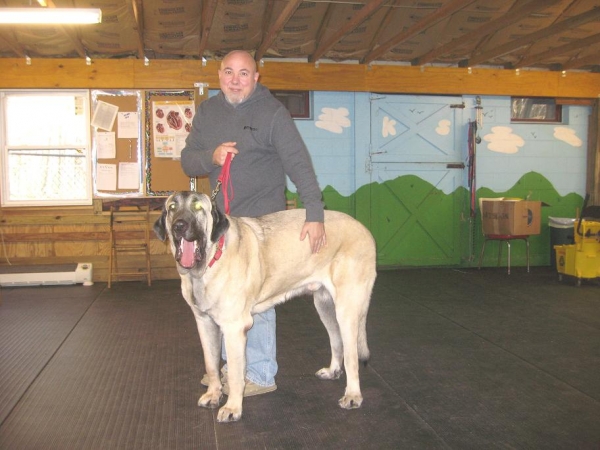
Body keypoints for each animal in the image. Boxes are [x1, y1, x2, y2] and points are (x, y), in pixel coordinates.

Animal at [156, 192, 380, 424]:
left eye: (198, 207)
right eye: (172, 207)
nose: (179, 225)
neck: (211, 261)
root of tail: (365, 230)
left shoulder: (233, 329)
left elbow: (235, 374)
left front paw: (233, 407)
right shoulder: (205, 323)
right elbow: (211, 364)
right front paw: (213, 394)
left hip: (347, 310)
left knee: (352, 357)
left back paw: (353, 395)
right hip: (325, 305)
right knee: (337, 341)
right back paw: (333, 370)